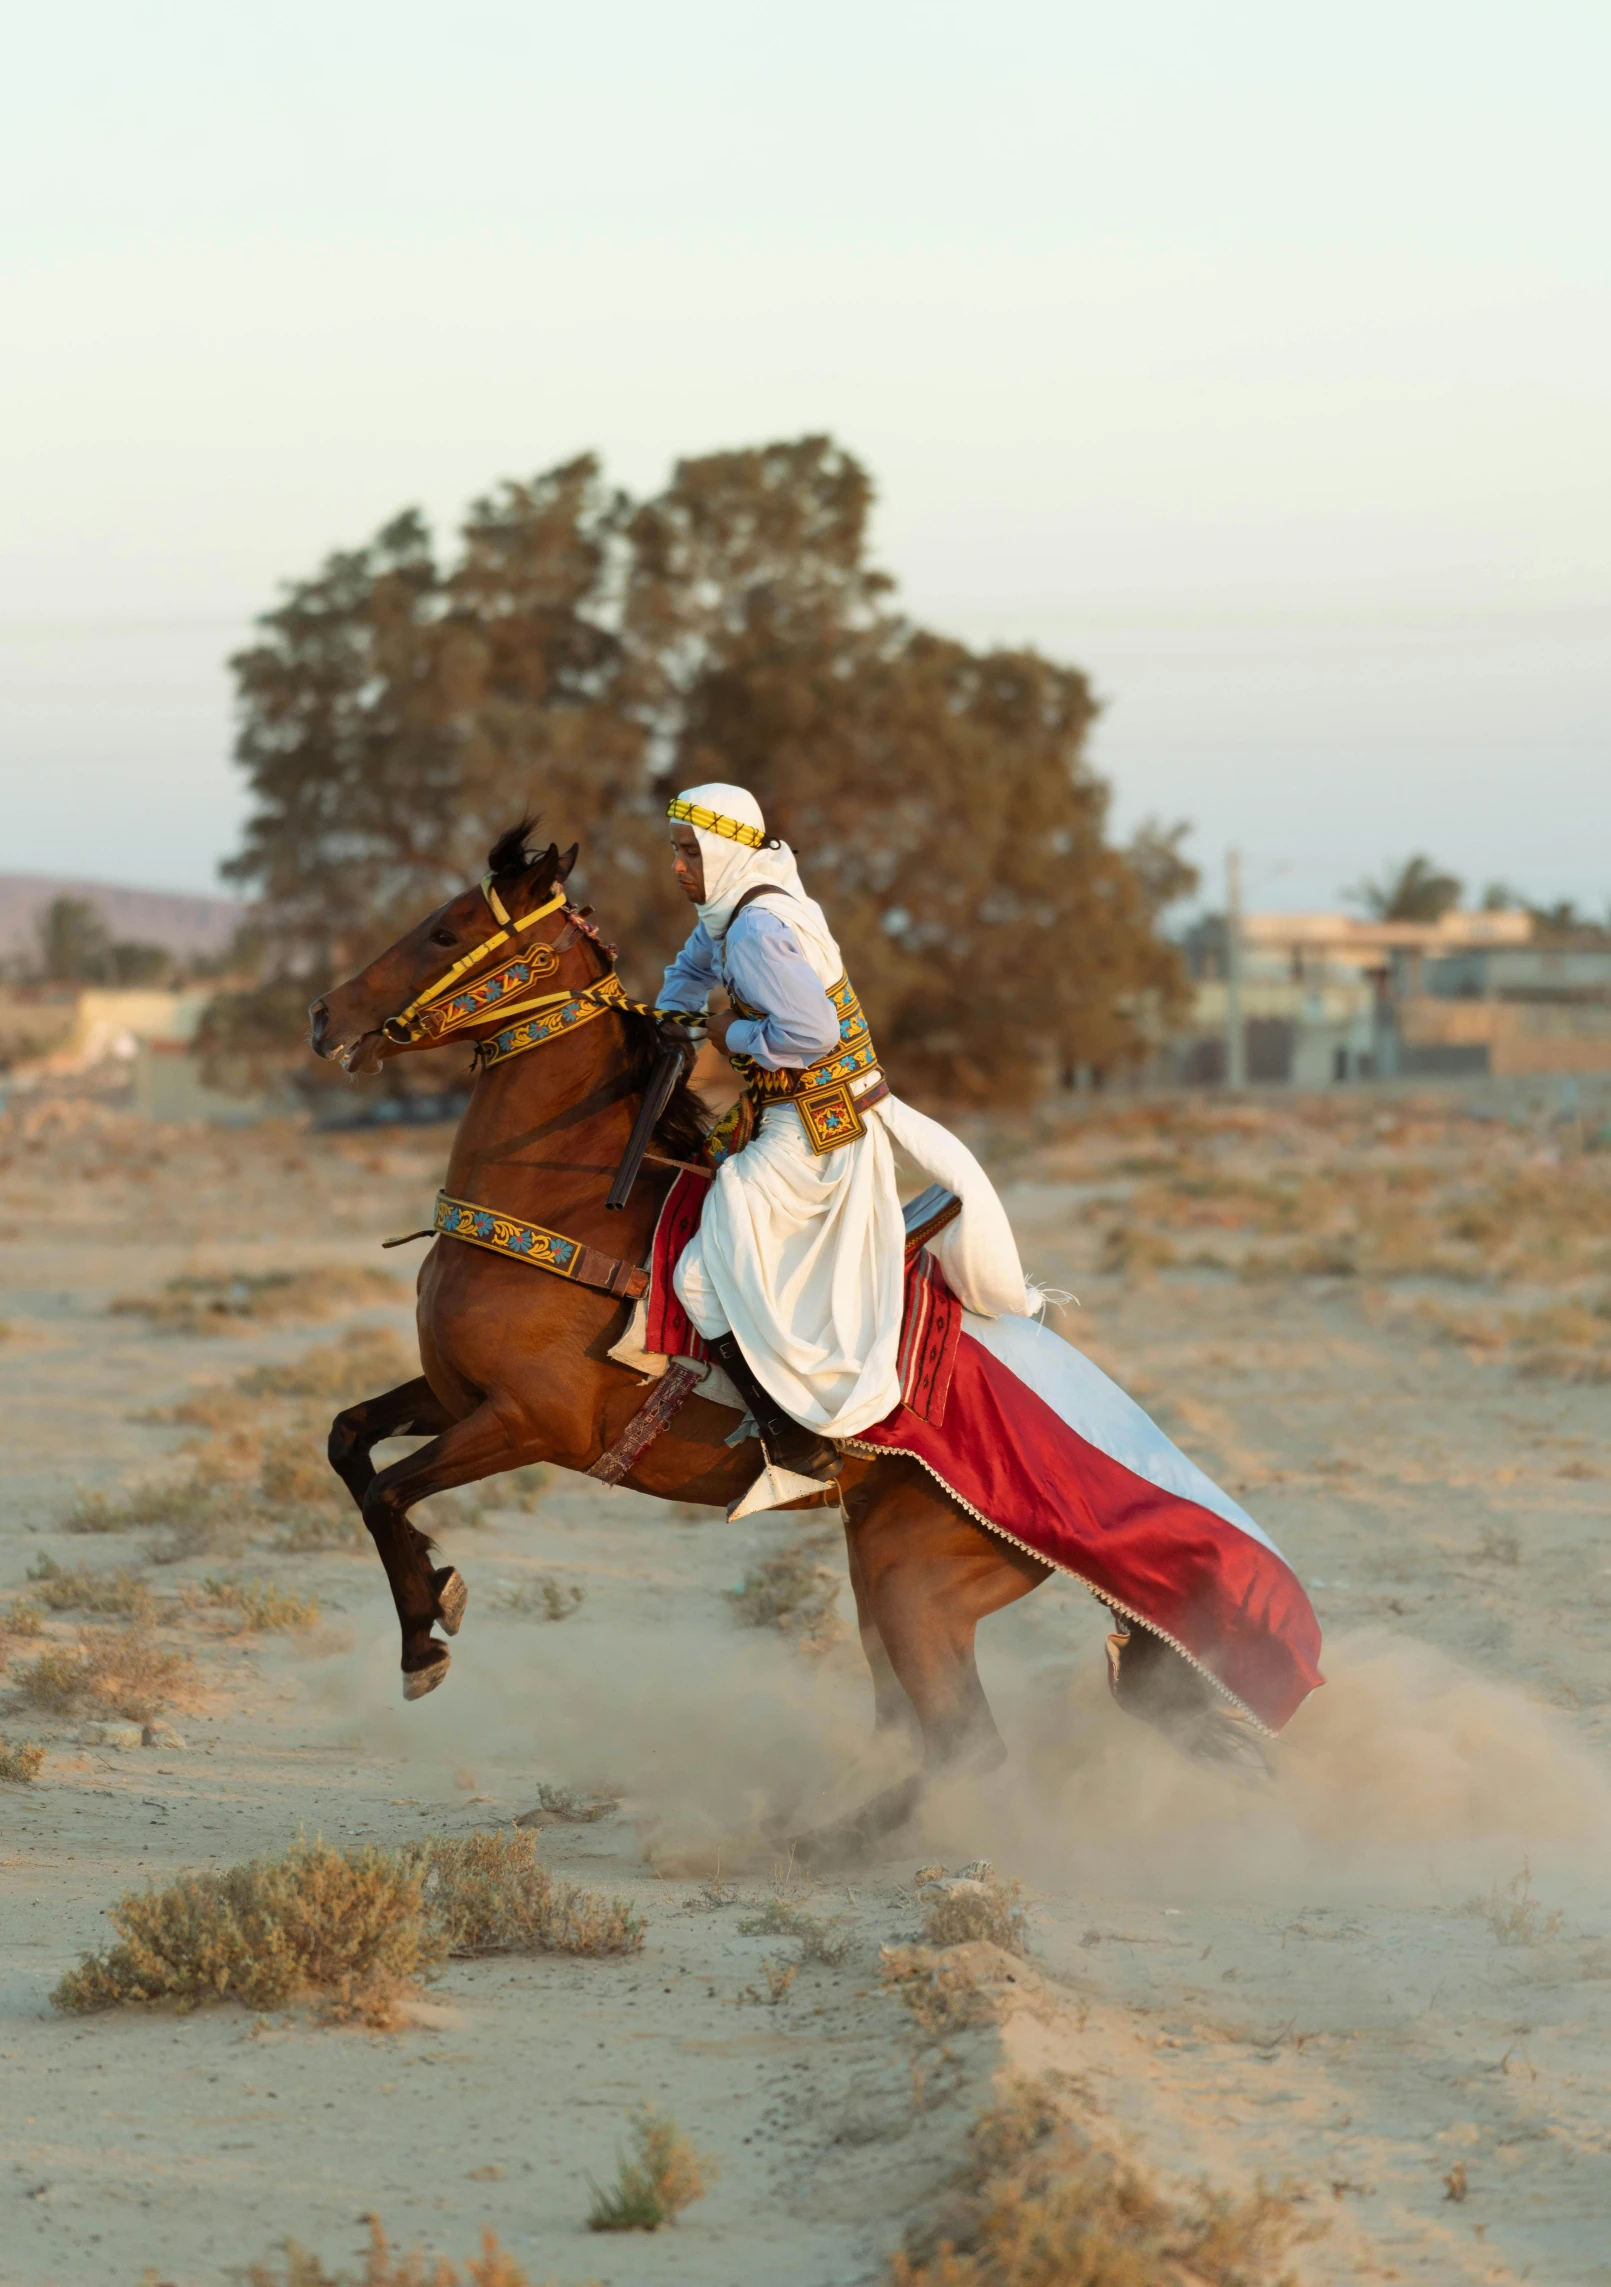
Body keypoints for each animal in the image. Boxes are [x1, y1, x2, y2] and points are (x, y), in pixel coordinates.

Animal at [311, 832, 1217, 1847]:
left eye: (446, 929)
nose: (324, 1014)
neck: (560, 1203)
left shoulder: (530, 1423)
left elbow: (387, 1490)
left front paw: (424, 1637)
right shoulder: (453, 1395)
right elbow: (349, 1442)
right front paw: (433, 1595)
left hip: (911, 1583)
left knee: (963, 1741)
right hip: (878, 1572)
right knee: (917, 1728)